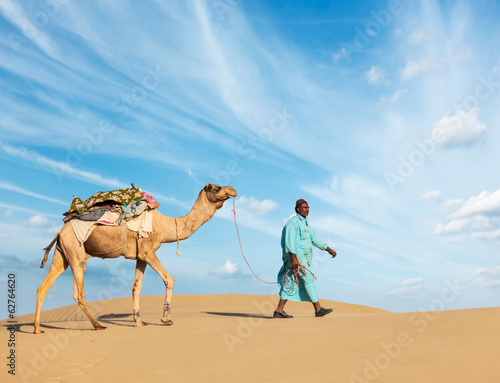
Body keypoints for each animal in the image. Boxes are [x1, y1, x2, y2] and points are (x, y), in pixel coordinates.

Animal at [34, 183, 237, 332]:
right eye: (217, 188)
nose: (233, 190)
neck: (166, 226)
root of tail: (60, 231)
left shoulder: (141, 256)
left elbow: (136, 287)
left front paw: (139, 322)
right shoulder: (148, 251)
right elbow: (169, 279)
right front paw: (166, 319)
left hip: (62, 254)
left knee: (43, 287)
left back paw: (38, 328)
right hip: (76, 253)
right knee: (78, 292)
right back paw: (98, 325)